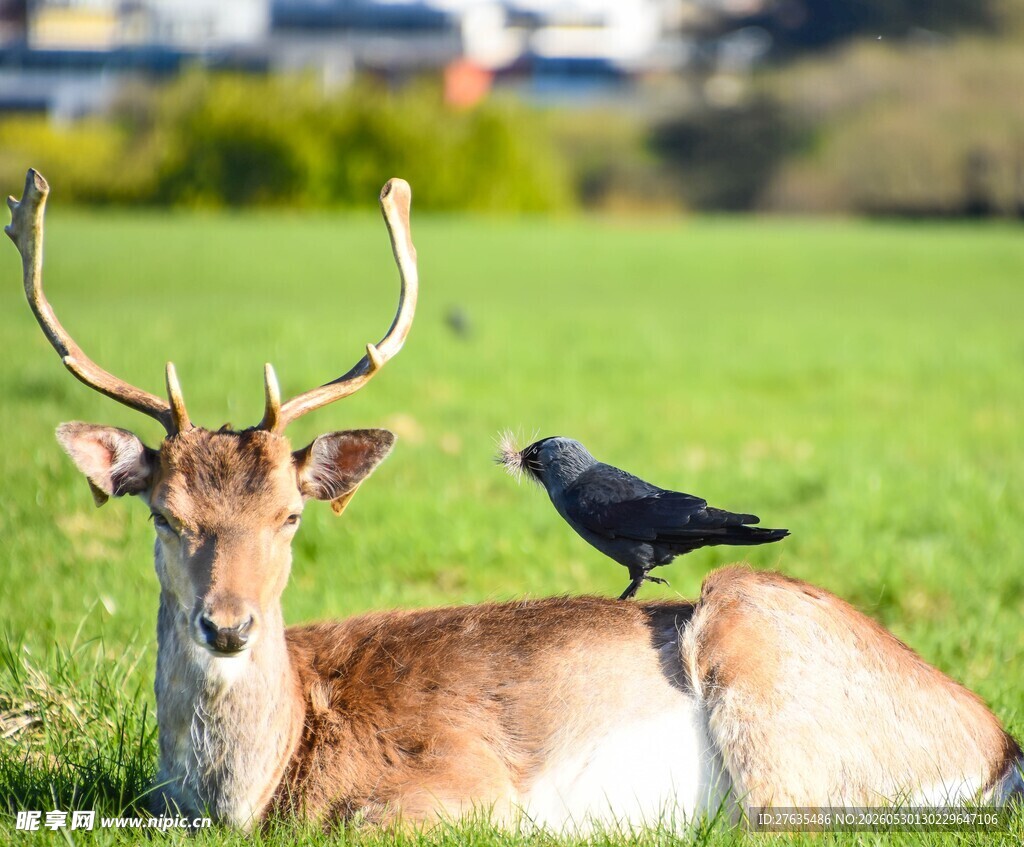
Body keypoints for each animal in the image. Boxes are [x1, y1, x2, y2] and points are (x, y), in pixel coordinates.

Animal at [6, 169, 1022, 833]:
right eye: (164, 512)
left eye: (290, 514)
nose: (228, 624)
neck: (250, 791)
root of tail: (995, 747)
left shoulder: (461, 783)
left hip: (765, 669)